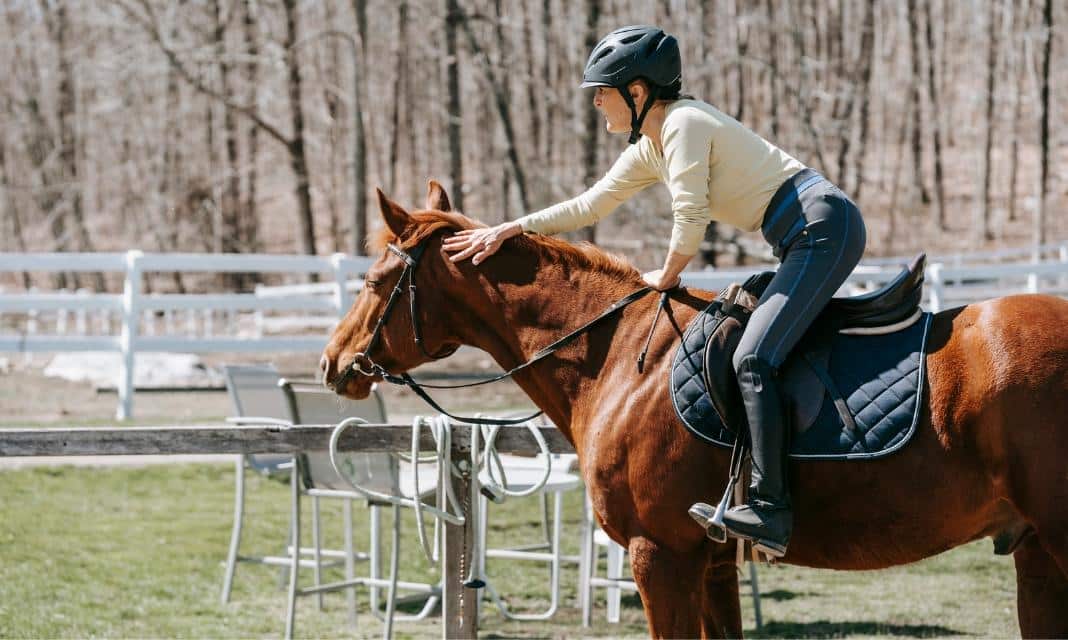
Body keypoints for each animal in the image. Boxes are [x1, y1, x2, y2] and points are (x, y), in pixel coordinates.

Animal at [322, 182, 1068, 636]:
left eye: (375, 281)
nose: (332, 363)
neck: (620, 356)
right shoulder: (710, 564)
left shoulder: (660, 556)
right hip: (1036, 553)